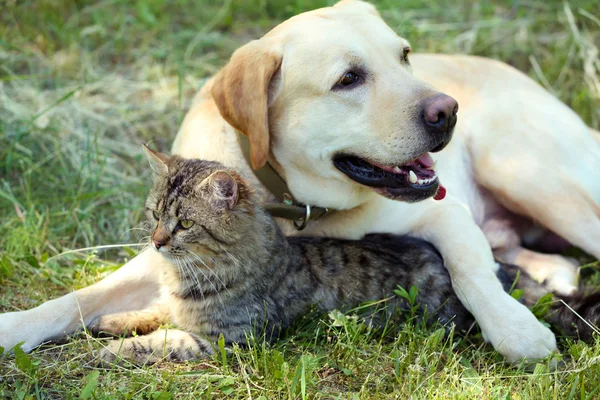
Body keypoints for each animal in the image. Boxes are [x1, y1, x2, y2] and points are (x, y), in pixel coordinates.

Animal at [92, 147, 600, 366]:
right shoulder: (178, 308)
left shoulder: (227, 340)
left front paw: (112, 349)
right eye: (154, 214)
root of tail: (504, 273)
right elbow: (152, 312)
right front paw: (111, 322)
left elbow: (161, 340)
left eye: (184, 224)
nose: (156, 241)